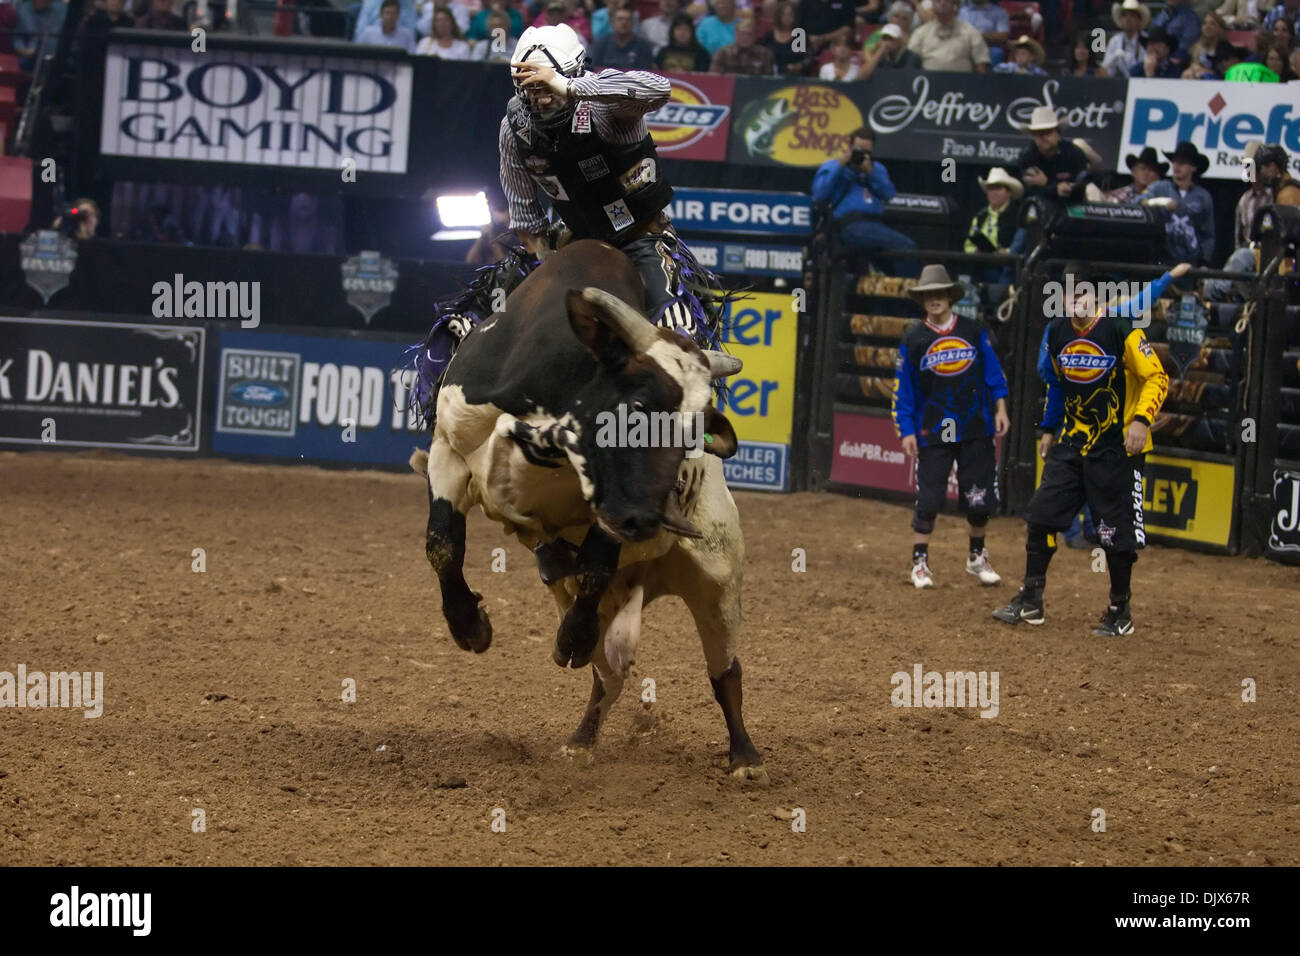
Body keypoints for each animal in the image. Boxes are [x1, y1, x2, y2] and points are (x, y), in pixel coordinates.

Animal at [410, 240, 764, 785]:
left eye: (694, 431)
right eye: (637, 405)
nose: (648, 520)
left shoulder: (610, 509)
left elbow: (596, 562)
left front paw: (571, 638)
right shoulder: (449, 451)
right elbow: (443, 545)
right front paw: (470, 626)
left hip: (718, 579)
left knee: (724, 672)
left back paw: (745, 757)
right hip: (593, 593)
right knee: (607, 678)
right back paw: (580, 740)